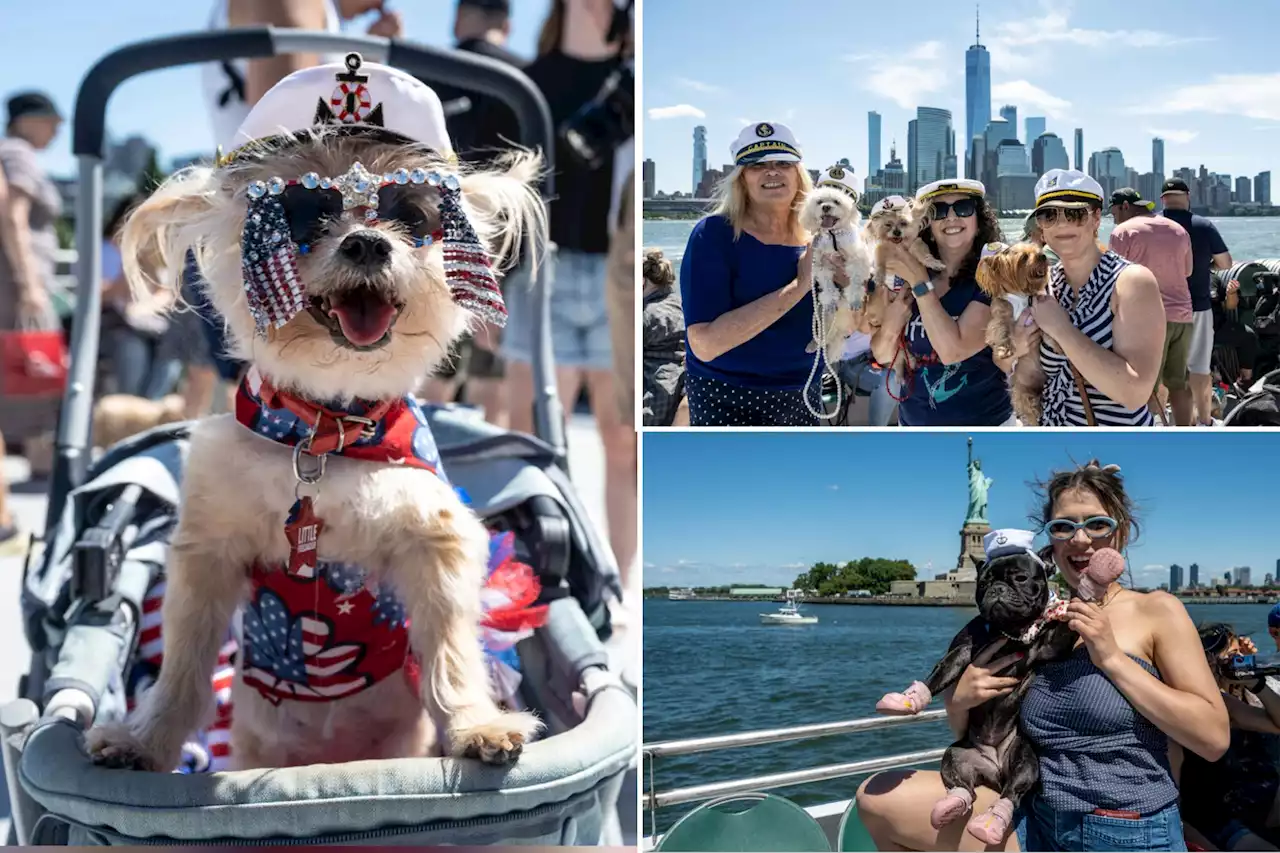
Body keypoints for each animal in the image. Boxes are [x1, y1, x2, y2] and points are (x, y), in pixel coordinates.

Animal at [793, 163, 875, 361]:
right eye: (820, 202)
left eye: (836, 202)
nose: (826, 208)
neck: (832, 235)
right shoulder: (821, 263)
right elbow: (827, 286)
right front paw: (830, 301)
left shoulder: (857, 259)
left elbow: (855, 281)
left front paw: (855, 298)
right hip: (822, 317)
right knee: (822, 335)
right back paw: (813, 344)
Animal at [972, 240, 1054, 422]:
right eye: (1024, 258)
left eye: (1037, 250)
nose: (1043, 256)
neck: (1021, 296)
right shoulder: (999, 317)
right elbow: (1001, 330)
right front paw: (1005, 350)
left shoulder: (1035, 314)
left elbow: (1048, 330)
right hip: (1020, 391)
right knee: (1029, 407)